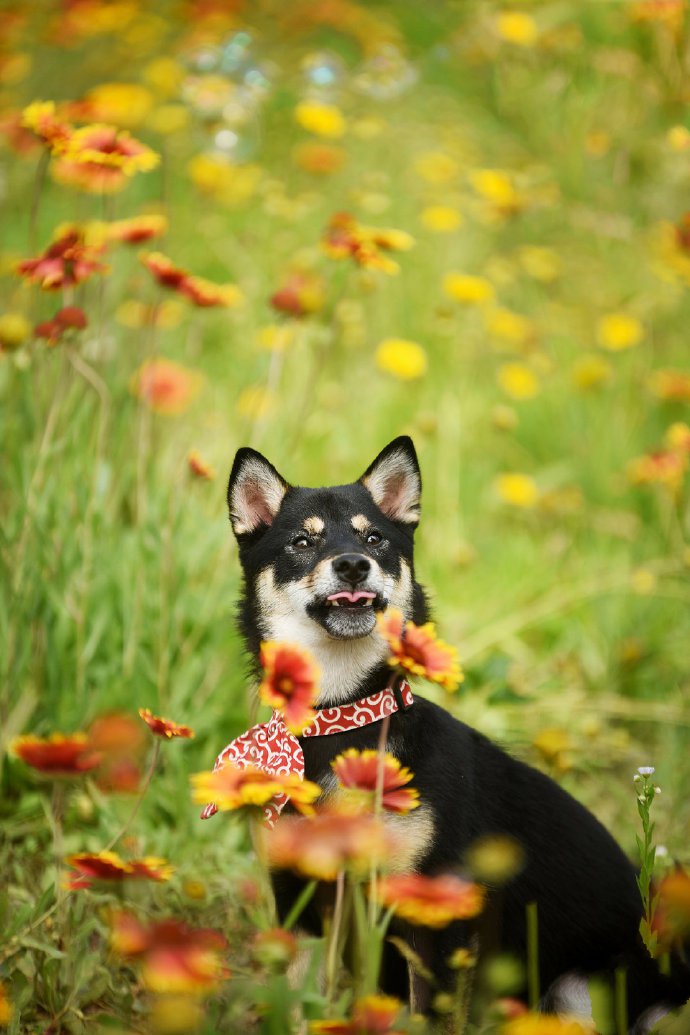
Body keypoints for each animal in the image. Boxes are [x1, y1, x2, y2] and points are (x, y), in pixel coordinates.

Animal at [225, 434, 686, 1026]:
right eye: (302, 542)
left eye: (374, 538)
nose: (353, 565)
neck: (343, 720)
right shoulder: (299, 902)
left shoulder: (435, 916)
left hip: (581, 990)